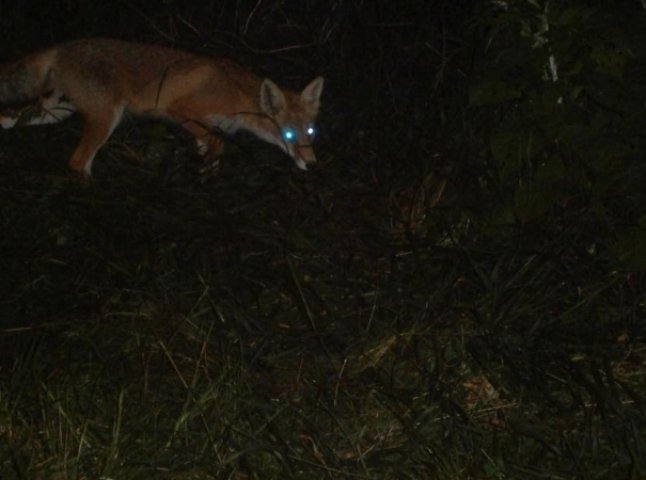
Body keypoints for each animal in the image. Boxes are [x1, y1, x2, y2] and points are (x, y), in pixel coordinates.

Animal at [0, 38, 324, 178]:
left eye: (310, 132)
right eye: (290, 136)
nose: (312, 164)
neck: (233, 93)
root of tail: (65, 46)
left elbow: (213, 149)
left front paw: (204, 168)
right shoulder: (180, 110)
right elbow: (216, 142)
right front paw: (204, 162)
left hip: (56, 111)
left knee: (7, 119)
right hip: (106, 118)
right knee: (78, 162)